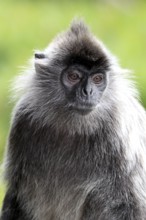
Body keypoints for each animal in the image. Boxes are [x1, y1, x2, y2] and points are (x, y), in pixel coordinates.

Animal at [0, 19, 146, 220]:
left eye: (98, 79)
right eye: (73, 76)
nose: (88, 92)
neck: (71, 126)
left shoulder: (118, 130)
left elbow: (128, 204)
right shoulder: (23, 120)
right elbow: (16, 195)